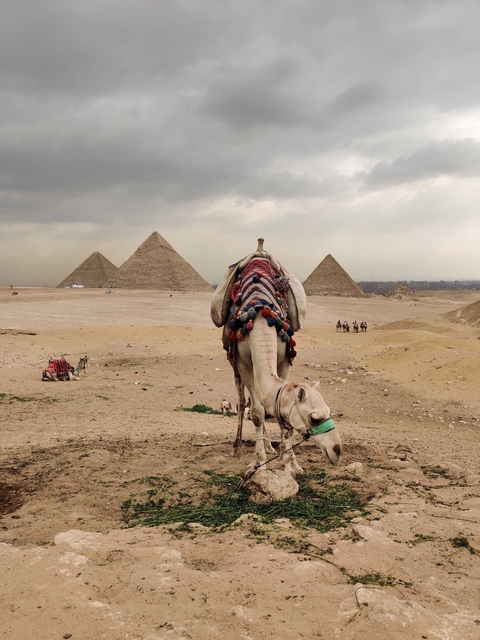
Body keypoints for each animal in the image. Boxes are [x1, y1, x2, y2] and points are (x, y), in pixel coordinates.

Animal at [211, 239, 342, 476]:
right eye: (314, 418)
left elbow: (279, 415)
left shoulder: (284, 359)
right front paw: (258, 462)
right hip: (233, 363)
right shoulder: (244, 363)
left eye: (329, 411)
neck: (261, 324)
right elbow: (256, 412)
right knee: (243, 401)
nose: (337, 449)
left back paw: (271, 448)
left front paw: (291, 462)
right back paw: (238, 447)